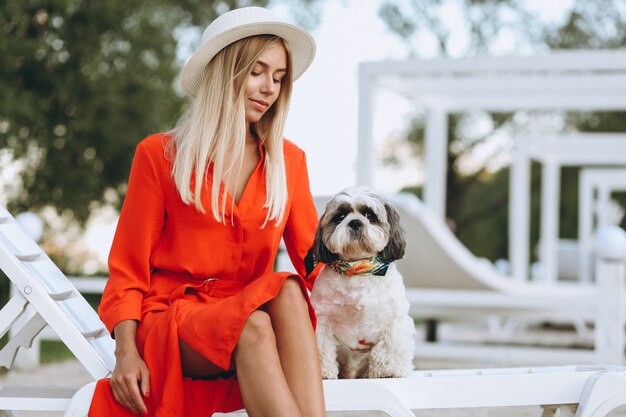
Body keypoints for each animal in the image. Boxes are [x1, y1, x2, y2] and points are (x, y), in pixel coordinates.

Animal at [308, 185, 414, 376]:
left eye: (370, 215)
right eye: (340, 216)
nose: (355, 222)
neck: (357, 269)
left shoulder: (394, 320)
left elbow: (389, 346)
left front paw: (388, 371)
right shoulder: (322, 319)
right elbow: (322, 348)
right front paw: (324, 372)